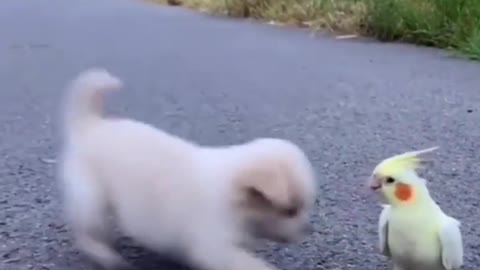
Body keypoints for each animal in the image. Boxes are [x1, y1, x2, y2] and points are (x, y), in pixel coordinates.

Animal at [56, 68, 316, 270]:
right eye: (290, 211)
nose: (308, 230)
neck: (233, 194)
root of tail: (90, 125)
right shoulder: (215, 247)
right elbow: (249, 264)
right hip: (91, 198)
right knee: (85, 232)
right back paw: (103, 254)